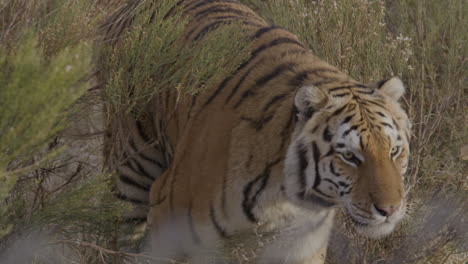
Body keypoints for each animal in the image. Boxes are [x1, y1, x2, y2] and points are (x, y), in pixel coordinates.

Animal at [98, 0, 410, 264]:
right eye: (349, 157)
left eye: (394, 151)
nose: (390, 210)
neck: (284, 201)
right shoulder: (170, 227)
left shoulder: (300, 246)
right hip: (132, 173)